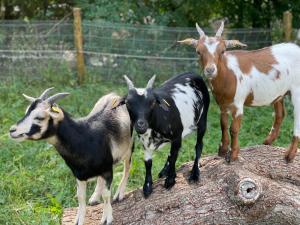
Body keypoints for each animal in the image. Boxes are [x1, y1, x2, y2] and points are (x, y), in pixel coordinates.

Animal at [8, 88, 133, 225]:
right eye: (26, 112)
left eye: (40, 117)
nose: (12, 130)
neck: (84, 137)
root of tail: (115, 95)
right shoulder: (79, 174)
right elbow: (80, 196)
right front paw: (78, 220)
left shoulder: (106, 170)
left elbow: (106, 195)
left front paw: (107, 218)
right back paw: (94, 197)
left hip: (129, 146)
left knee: (127, 167)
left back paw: (119, 194)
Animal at [179, 21, 300, 162]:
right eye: (198, 51)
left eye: (223, 51)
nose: (210, 70)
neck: (228, 74)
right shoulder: (222, 104)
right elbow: (223, 125)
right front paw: (222, 151)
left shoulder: (238, 104)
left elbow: (234, 129)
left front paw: (233, 155)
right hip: (279, 92)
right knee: (280, 114)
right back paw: (267, 142)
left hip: (297, 89)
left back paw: (289, 155)